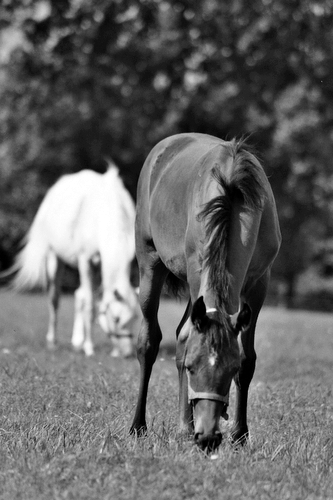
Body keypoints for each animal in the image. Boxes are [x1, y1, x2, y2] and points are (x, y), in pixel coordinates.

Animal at [11, 163, 138, 356]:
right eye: (116, 319)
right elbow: (90, 305)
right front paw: (89, 347)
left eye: (135, 319)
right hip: (54, 256)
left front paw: (84, 343)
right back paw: (53, 341)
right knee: (55, 298)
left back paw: (77, 340)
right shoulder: (85, 259)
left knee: (79, 295)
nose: (126, 352)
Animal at [130, 134, 280, 454]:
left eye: (230, 368)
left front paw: (240, 434)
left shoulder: (259, 284)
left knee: (180, 333)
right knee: (149, 342)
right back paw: (140, 426)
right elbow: (185, 341)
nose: (208, 437)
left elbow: (248, 359)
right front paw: (186, 427)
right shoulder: (196, 270)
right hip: (149, 264)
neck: (232, 200)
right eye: (192, 368)